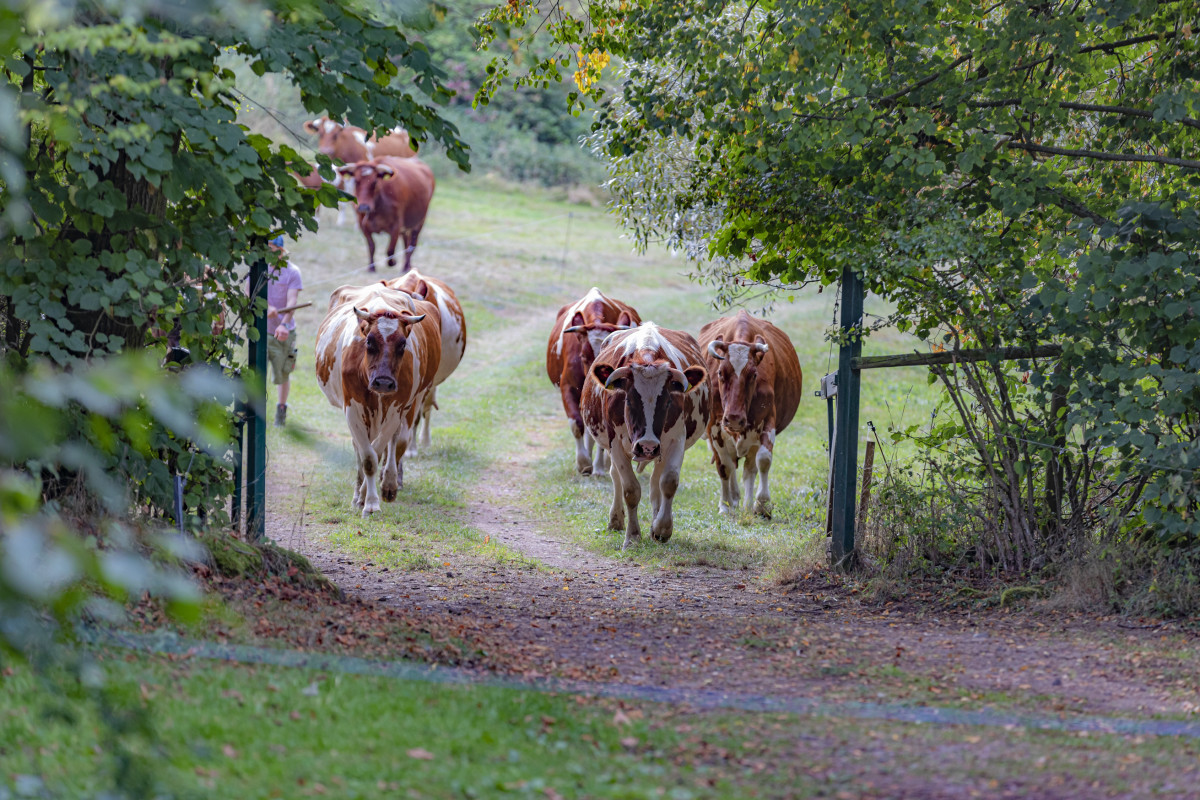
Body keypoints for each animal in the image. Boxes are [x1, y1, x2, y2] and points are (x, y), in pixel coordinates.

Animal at [314, 284, 441, 515]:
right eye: (369, 341)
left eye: (402, 344)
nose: (383, 382)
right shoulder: (352, 409)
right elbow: (368, 457)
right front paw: (366, 500)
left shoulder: (397, 408)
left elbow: (379, 450)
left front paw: (371, 498)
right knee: (360, 448)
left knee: (394, 443)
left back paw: (388, 484)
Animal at [583, 321, 710, 546]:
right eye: (628, 399)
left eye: (667, 401)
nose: (647, 446)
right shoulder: (616, 444)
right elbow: (630, 489)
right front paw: (633, 536)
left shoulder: (676, 439)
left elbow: (668, 482)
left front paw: (662, 528)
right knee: (615, 476)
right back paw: (616, 520)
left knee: (655, 483)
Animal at [700, 307, 801, 520]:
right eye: (720, 373)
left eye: (754, 374)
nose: (734, 418)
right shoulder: (715, 427)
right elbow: (724, 466)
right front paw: (725, 505)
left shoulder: (767, 419)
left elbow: (763, 460)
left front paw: (762, 504)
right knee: (729, 464)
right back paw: (733, 499)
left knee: (749, 468)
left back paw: (745, 503)